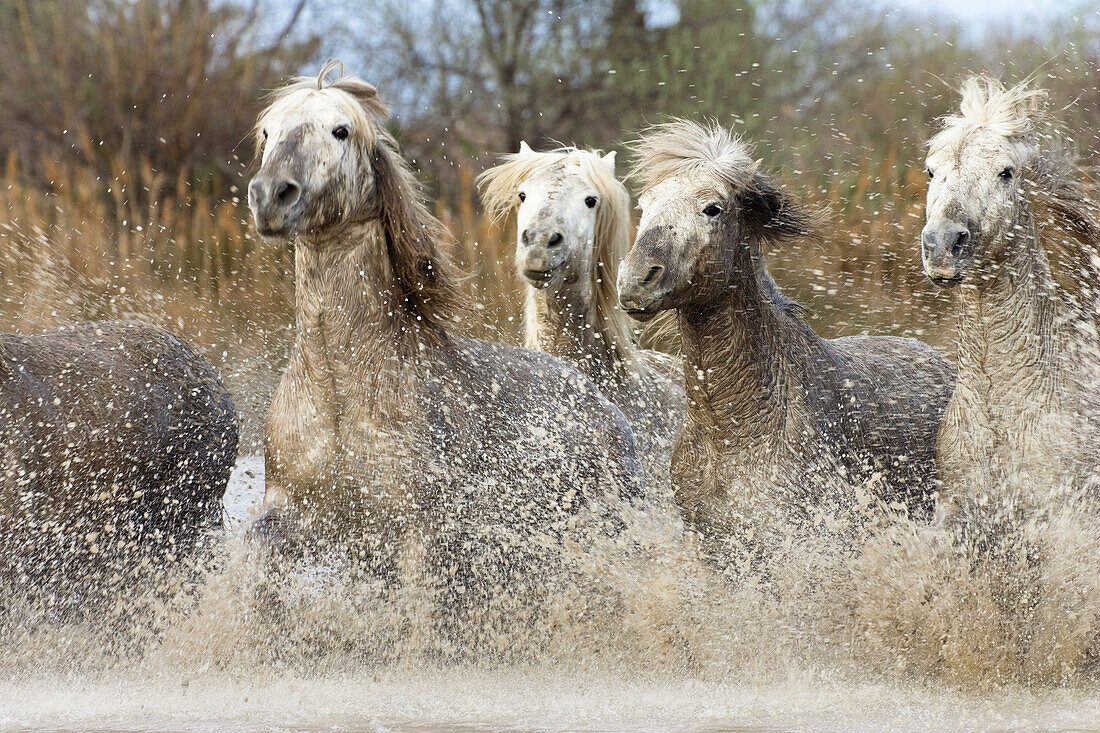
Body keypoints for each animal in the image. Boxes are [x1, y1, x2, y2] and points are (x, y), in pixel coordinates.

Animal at [247, 62, 642, 647]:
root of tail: (595, 395)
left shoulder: (422, 540)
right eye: (268, 133)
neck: (342, 387)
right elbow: (255, 576)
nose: (271, 195)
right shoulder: (293, 511)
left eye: (341, 130)